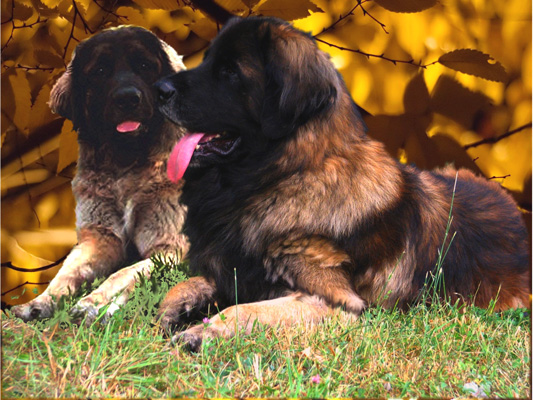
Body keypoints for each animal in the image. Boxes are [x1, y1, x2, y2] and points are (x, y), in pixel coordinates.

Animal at [11, 25, 189, 322]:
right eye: (100, 71)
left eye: (144, 65)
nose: (127, 98)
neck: (127, 164)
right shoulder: (101, 238)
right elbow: (66, 273)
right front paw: (41, 302)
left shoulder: (170, 246)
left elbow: (125, 273)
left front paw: (94, 304)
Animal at [153, 17, 528, 348]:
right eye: (208, 61)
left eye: (230, 72)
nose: (159, 89)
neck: (286, 176)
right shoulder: (235, 272)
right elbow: (184, 286)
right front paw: (168, 316)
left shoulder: (337, 303)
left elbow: (243, 310)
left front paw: (201, 332)